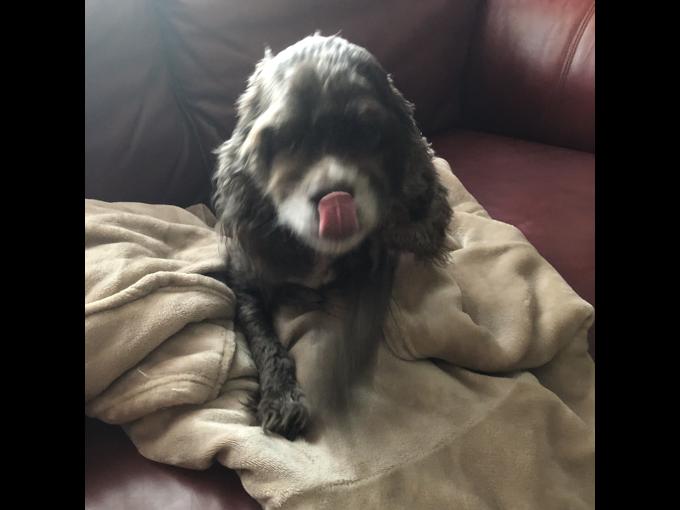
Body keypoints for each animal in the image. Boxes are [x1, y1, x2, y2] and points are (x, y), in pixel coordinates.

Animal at [212, 33, 452, 440]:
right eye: (287, 138)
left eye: (369, 132)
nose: (335, 200)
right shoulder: (246, 280)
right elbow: (264, 337)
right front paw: (281, 398)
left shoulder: (373, 270)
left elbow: (353, 330)